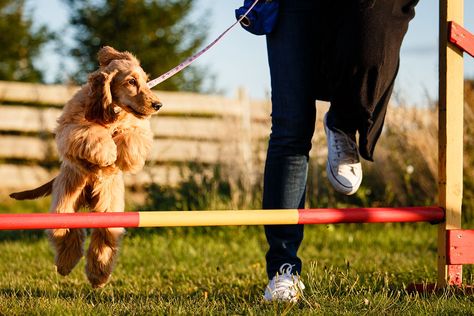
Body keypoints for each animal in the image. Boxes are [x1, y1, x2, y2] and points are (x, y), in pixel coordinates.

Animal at [8, 45, 161, 288]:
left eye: (146, 81)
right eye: (131, 81)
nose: (158, 105)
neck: (111, 110)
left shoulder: (138, 129)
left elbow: (133, 137)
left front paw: (120, 154)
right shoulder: (71, 127)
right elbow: (92, 133)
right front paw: (107, 151)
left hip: (110, 210)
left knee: (104, 236)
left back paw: (99, 275)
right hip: (65, 203)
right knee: (68, 232)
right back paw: (66, 264)